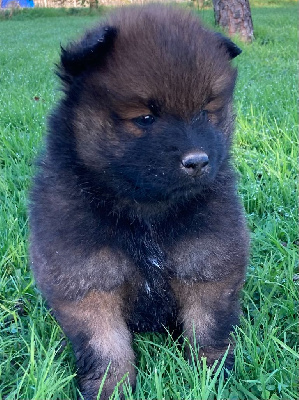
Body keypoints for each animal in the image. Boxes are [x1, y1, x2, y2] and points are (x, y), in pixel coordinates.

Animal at [29, 4, 251, 398]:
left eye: (204, 111)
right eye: (145, 118)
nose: (198, 161)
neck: (146, 214)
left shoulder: (208, 265)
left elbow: (208, 330)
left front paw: (210, 379)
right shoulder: (87, 283)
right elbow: (106, 348)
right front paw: (112, 389)